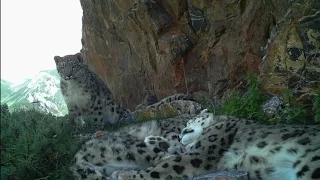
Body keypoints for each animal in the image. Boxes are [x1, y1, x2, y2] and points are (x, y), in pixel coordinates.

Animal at [55, 52, 199, 129]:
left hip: (113, 107)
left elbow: (97, 116)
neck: (73, 88)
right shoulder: (71, 104)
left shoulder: (95, 100)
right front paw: (76, 128)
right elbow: (74, 117)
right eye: (62, 67)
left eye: (74, 66)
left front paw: (96, 128)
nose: (68, 75)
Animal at [70, 108, 320, 180]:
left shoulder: (203, 153)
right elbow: (173, 153)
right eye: (184, 126)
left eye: (189, 122)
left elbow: (166, 165)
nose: (181, 132)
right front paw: (158, 141)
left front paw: (124, 175)